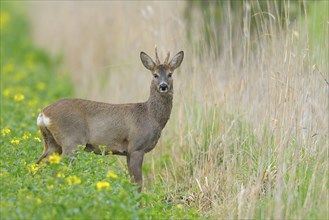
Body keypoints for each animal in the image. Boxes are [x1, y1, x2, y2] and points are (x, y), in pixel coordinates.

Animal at [37, 47, 184, 191]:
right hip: (71, 141)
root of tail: (43, 113)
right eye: (155, 75)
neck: (150, 116)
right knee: (57, 171)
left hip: (52, 143)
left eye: (170, 74)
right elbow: (138, 183)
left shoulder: (129, 152)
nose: (163, 86)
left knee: (38, 165)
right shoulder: (136, 146)